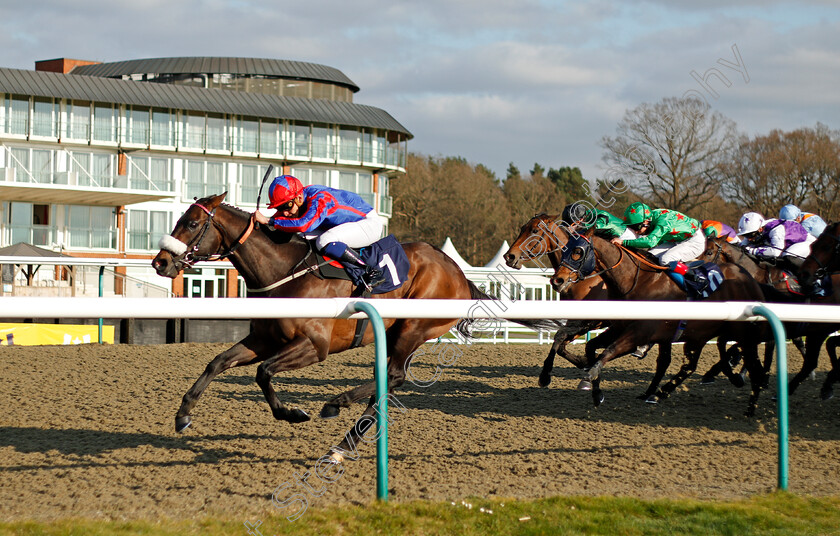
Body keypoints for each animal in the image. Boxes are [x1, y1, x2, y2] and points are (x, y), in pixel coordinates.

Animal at [552, 228, 768, 416]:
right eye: (565, 248)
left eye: (578, 251)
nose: (557, 280)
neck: (638, 281)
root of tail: (750, 279)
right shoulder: (618, 327)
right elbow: (591, 348)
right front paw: (595, 390)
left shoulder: (640, 332)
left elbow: (608, 351)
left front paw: (588, 378)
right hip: (700, 334)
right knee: (690, 365)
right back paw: (657, 393)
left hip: (743, 335)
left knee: (752, 365)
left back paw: (750, 406)